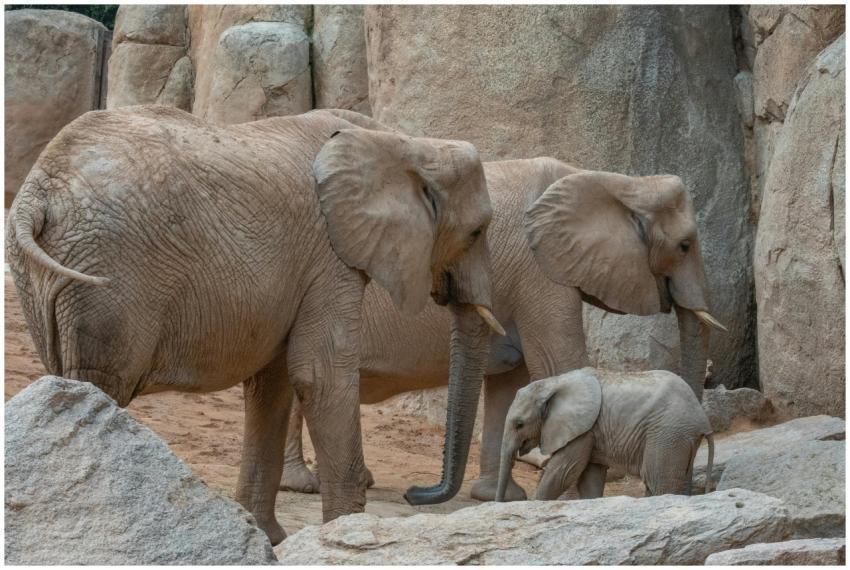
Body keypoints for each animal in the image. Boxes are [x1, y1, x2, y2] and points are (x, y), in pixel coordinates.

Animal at [5, 105, 504, 544]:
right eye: (478, 231)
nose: (413, 494)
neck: (404, 143)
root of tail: (39, 191)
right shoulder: (329, 257)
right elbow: (320, 376)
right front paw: (346, 532)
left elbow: (274, 384)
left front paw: (268, 538)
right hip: (108, 276)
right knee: (98, 385)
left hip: (45, 274)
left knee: (64, 382)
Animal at [496, 367, 715, 501]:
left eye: (519, 424)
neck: (553, 383)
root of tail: (703, 419)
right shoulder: (591, 430)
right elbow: (589, 478)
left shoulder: (582, 429)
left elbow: (563, 472)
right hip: (680, 437)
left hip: (667, 434)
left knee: (659, 482)